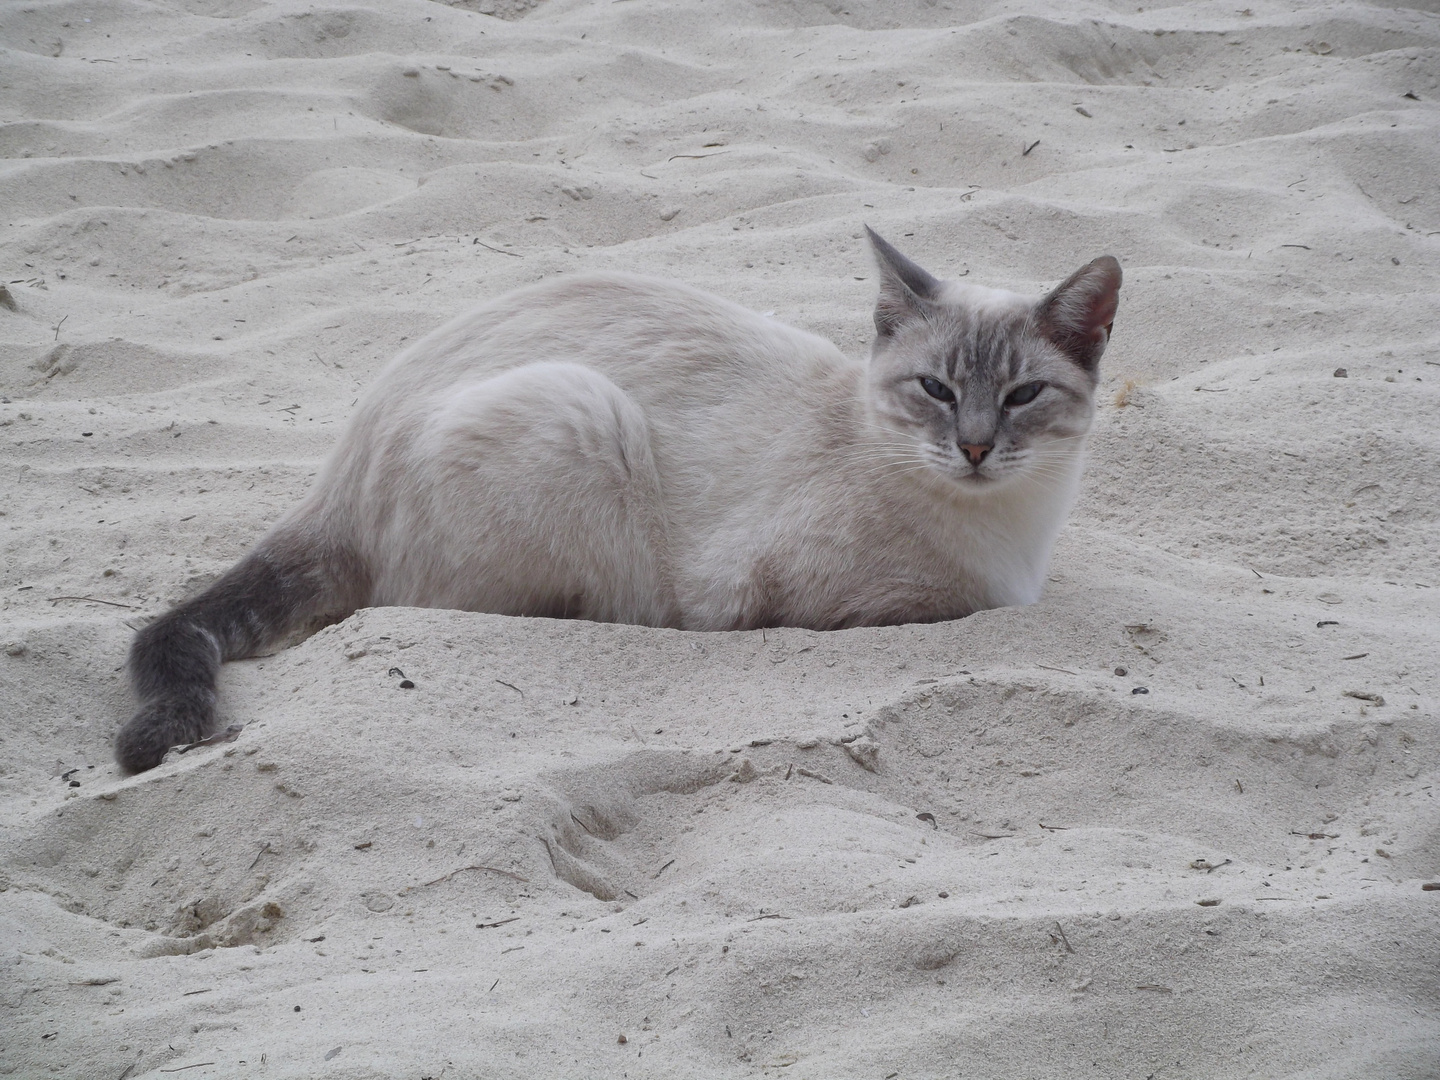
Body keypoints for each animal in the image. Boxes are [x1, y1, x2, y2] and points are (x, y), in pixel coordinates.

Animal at [115, 228, 1123, 771]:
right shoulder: (828, 597)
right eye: (937, 390)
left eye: (1023, 396)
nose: (977, 447)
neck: (1011, 533)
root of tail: (336, 476)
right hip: (581, 416)